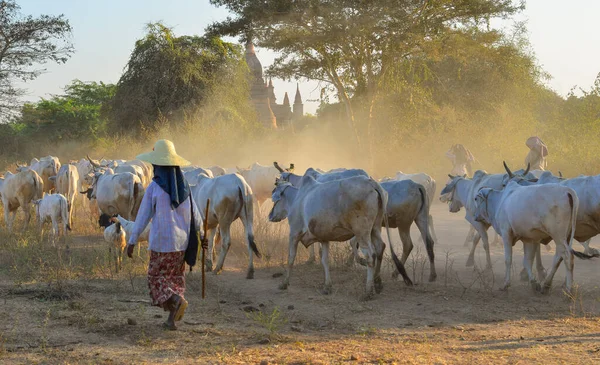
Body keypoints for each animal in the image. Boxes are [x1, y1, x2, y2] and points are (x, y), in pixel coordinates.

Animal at [268, 175, 412, 298]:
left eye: (275, 201)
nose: (270, 216)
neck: (296, 199)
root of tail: (371, 183)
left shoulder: (294, 234)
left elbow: (291, 258)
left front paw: (284, 283)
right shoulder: (324, 238)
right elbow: (324, 261)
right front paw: (327, 286)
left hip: (362, 232)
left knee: (371, 255)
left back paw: (368, 291)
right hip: (375, 228)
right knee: (380, 248)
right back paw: (377, 284)